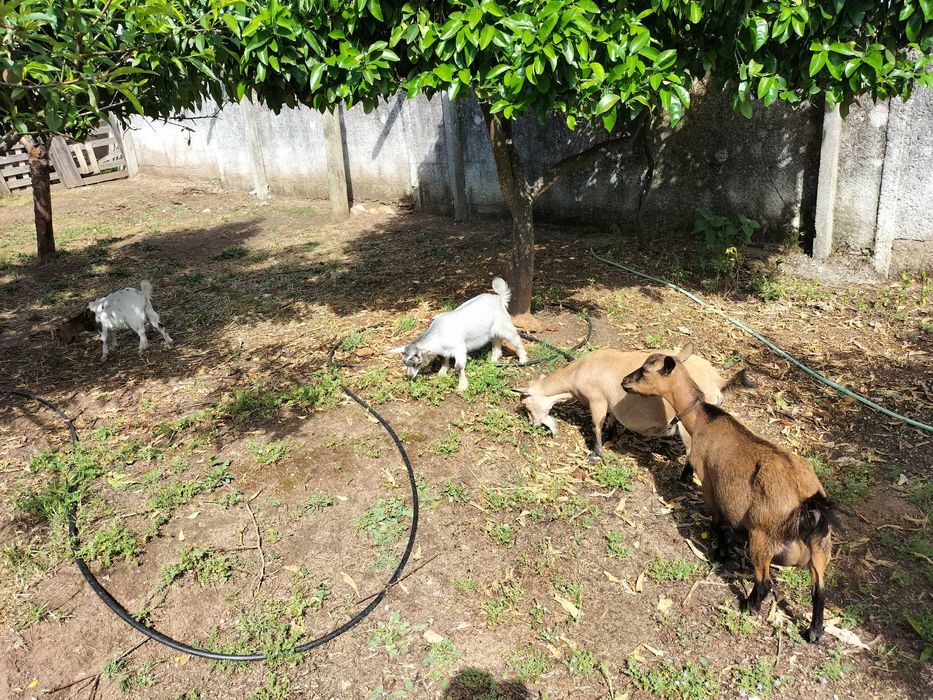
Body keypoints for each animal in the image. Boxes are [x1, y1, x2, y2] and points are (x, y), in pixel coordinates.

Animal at [388, 277, 527, 391]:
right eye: (404, 363)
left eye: (416, 363)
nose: (410, 376)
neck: (438, 333)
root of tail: (499, 298)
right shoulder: (444, 350)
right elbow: (444, 358)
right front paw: (442, 372)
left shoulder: (459, 348)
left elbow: (459, 366)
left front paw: (462, 386)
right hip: (491, 330)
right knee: (496, 340)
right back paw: (494, 358)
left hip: (504, 325)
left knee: (515, 339)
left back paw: (523, 359)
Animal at [514, 348, 751, 463]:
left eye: (527, 405)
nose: (532, 425)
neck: (578, 371)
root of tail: (718, 382)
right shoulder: (609, 403)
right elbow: (609, 421)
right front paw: (611, 437)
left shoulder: (596, 399)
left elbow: (596, 426)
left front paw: (595, 454)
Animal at [621, 344, 835, 643]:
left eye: (644, 371)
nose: (624, 382)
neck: (704, 420)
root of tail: (809, 504)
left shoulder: (710, 480)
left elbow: (718, 519)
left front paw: (721, 553)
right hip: (821, 548)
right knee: (819, 590)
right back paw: (813, 632)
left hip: (763, 536)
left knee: (764, 581)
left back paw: (748, 605)